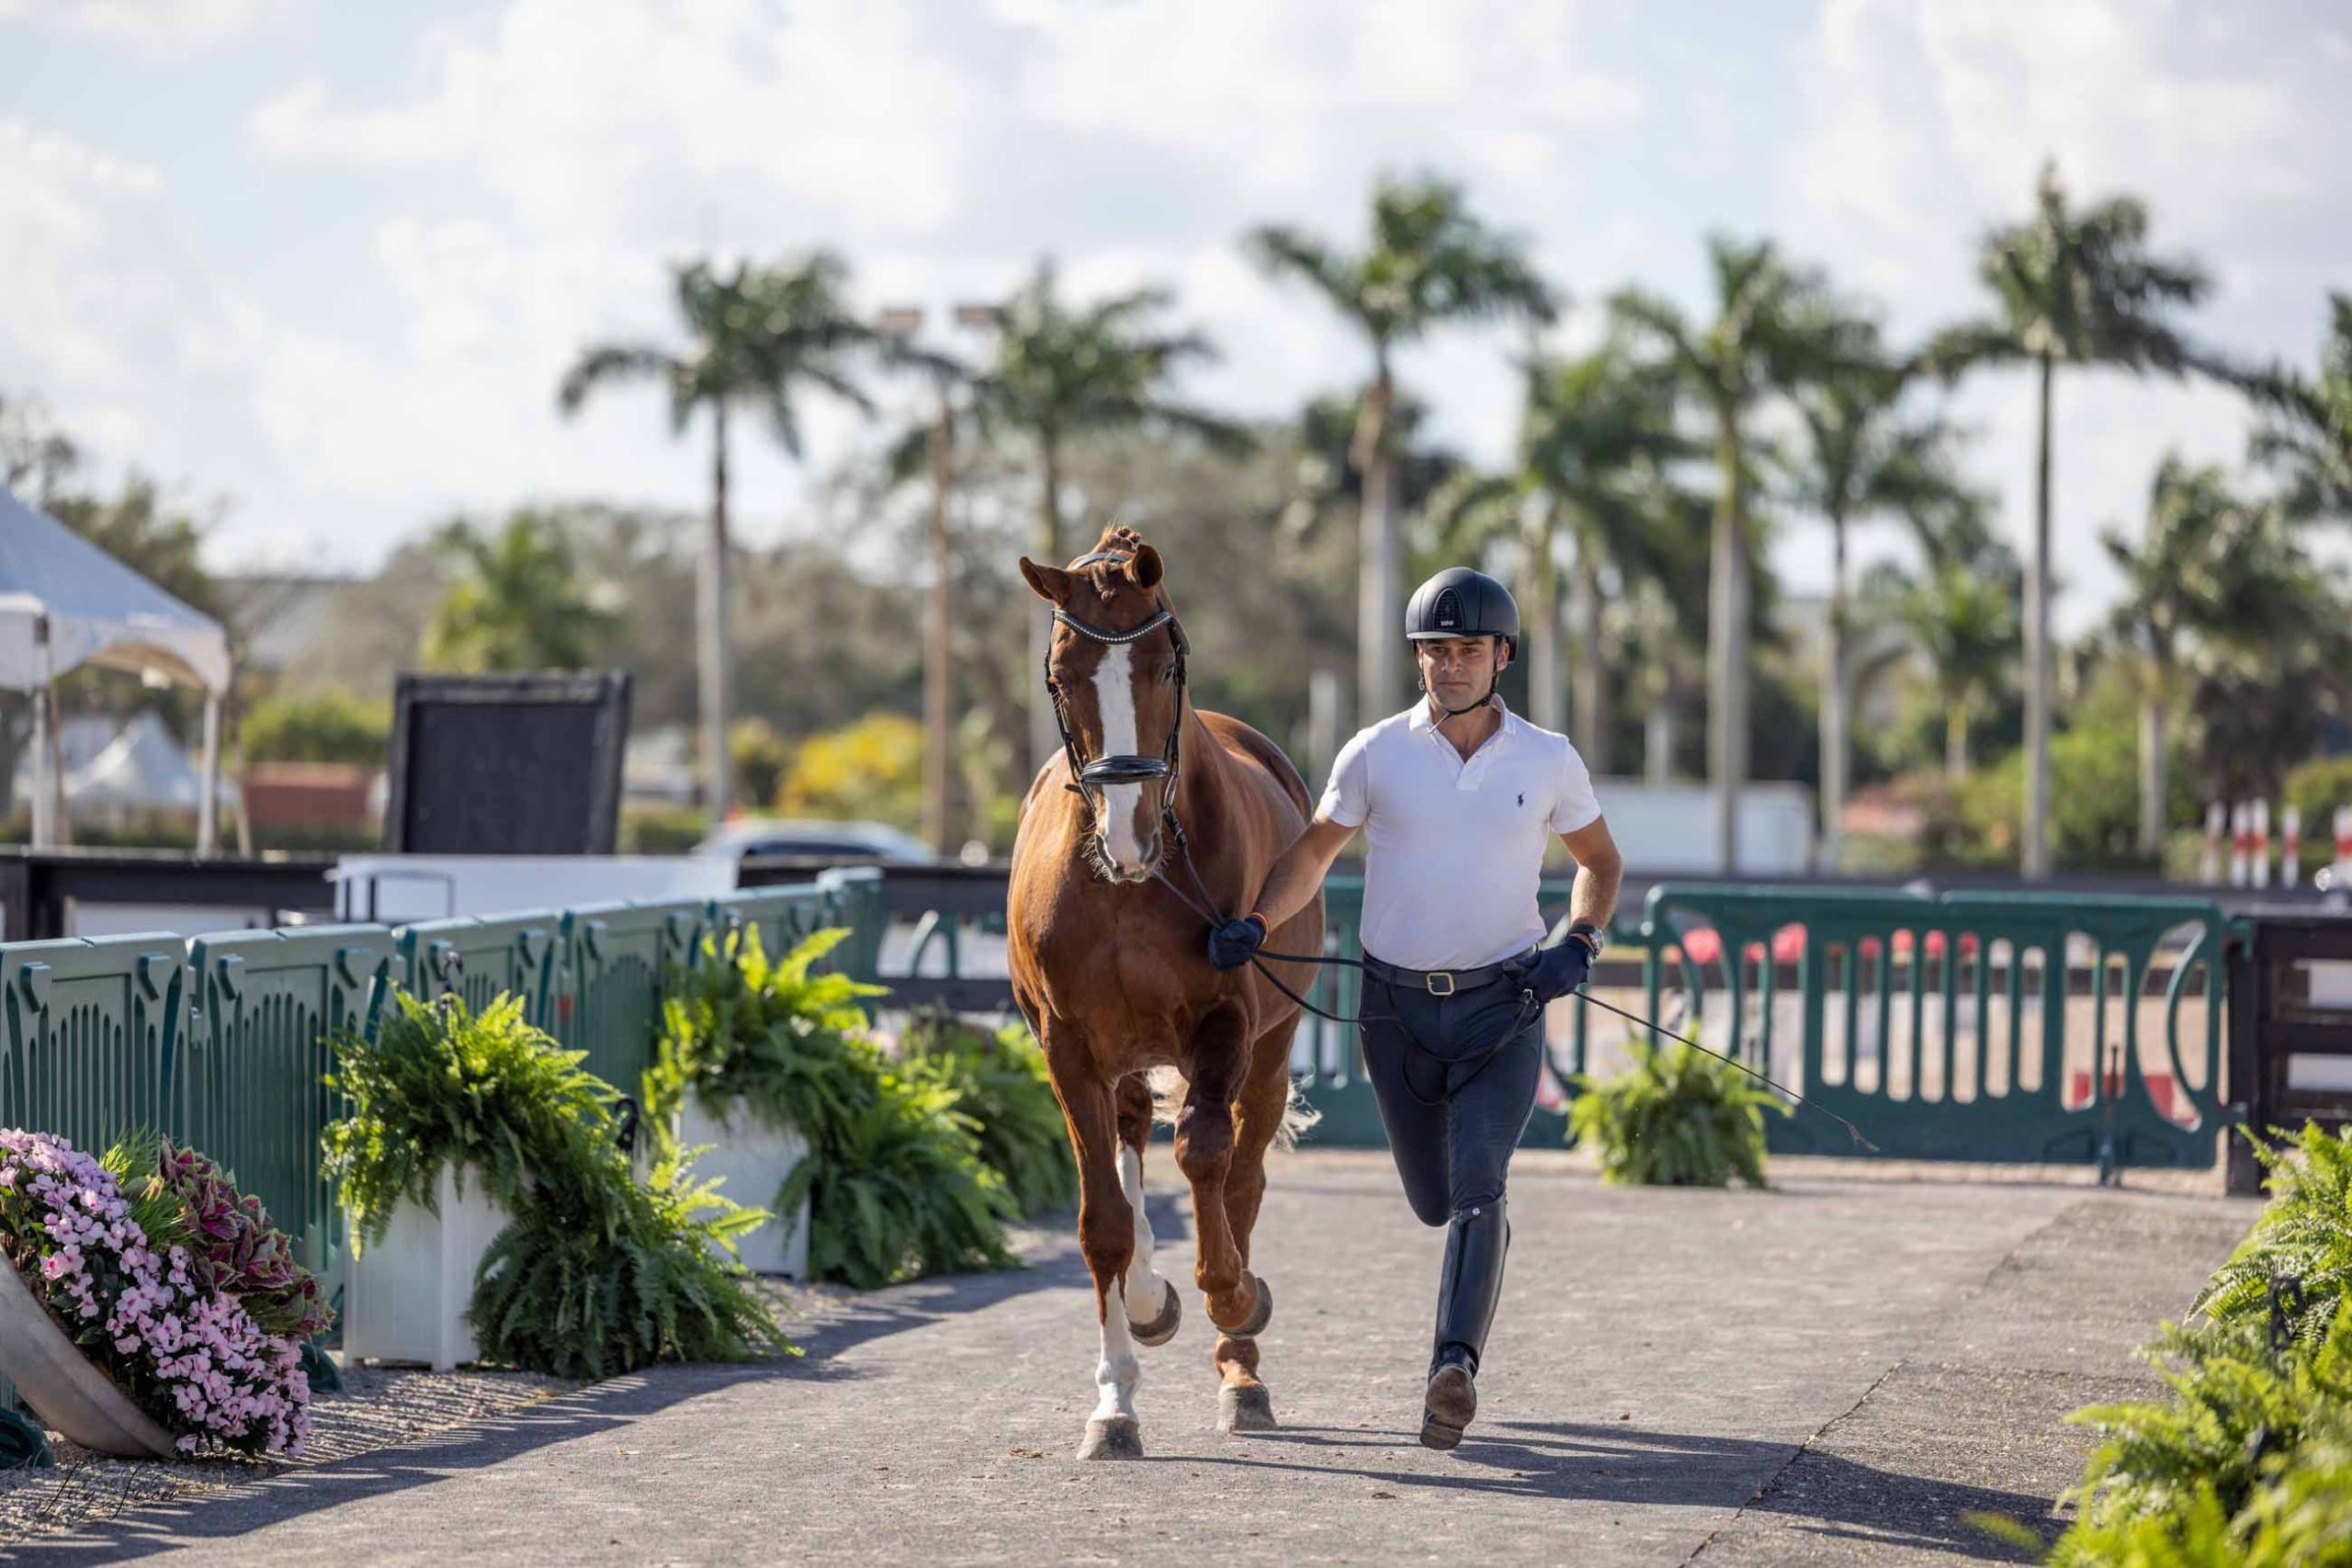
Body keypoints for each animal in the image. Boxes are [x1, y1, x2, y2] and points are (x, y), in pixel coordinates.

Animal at [1006, 524, 1326, 1457]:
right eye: (1061, 673)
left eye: (1162, 666)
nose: (1128, 836)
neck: (1127, 889)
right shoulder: (1070, 1046)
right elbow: (1104, 1223)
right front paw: (1115, 1399)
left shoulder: (1226, 1025)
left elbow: (1207, 1159)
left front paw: (1233, 1294)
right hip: (1122, 1057)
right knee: (1130, 1154)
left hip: (1268, 1052)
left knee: (1239, 1178)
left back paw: (1242, 1370)